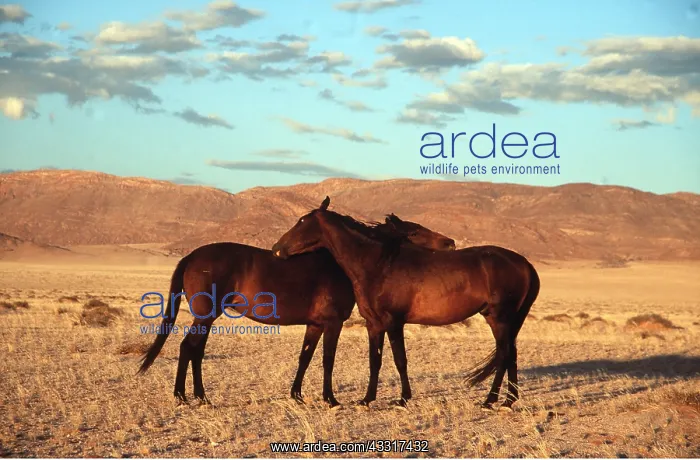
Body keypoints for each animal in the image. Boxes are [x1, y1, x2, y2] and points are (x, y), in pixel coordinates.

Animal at [137, 213, 455, 408]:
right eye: (414, 231)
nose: (450, 242)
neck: (342, 263)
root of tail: (192, 256)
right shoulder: (333, 323)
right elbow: (327, 359)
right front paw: (330, 399)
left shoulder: (315, 324)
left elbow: (305, 358)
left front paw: (297, 395)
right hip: (205, 316)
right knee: (188, 348)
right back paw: (185, 396)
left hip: (207, 318)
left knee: (195, 350)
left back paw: (199, 396)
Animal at [272, 196, 540, 410]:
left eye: (302, 222)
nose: (276, 249)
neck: (379, 265)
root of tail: (525, 264)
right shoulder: (374, 324)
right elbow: (375, 360)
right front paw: (366, 400)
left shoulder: (394, 322)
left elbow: (400, 360)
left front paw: (403, 399)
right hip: (502, 320)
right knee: (511, 354)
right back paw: (508, 401)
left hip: (500, 318)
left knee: (504, 354)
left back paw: (490, 400)